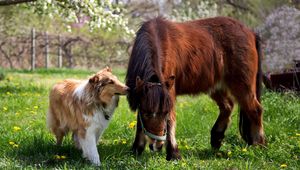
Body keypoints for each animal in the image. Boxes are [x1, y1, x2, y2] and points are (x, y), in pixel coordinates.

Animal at [126, 16, 264, 160]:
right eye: (146, 113)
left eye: (164, 113)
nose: (157, 146)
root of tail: (251, 33)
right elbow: (140, 123)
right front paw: (137, 149)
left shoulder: (169, 92)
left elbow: (170, 121)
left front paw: (173, 154)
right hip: (216, 86)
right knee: (228, 106)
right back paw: (216, 139)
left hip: (242, 86)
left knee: (255, 109)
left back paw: (259, 145)